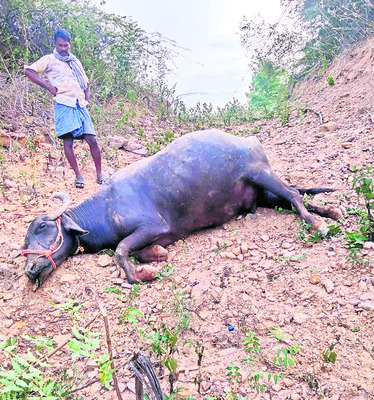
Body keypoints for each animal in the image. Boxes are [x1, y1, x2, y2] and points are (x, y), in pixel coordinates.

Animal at [14, 130, 342, 286]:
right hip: (262, 195)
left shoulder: (152, 226)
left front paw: (142, 275)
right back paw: (330, 213)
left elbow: (120, 251)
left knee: (293, 194)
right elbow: (137, 250)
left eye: (43, 227)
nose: (30, 270)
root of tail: (248, 140)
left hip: (261, 173)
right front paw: (155, 256)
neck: (105, 209)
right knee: (290, 198)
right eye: (24, 242)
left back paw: (318, 224)